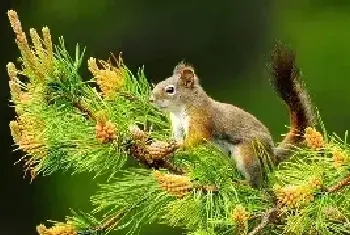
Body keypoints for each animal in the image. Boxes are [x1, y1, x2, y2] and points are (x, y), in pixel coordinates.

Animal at [148, 42, 314, 188]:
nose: (150, 99)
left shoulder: (201, 119)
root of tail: (272, 156)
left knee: (256, 181)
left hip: (248, 154)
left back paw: (243, 183)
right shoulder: (177, 125)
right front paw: (168, 146)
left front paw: (182, 146)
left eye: (170, 90)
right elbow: (176, 137)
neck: (180, 109)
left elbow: (197, 137)